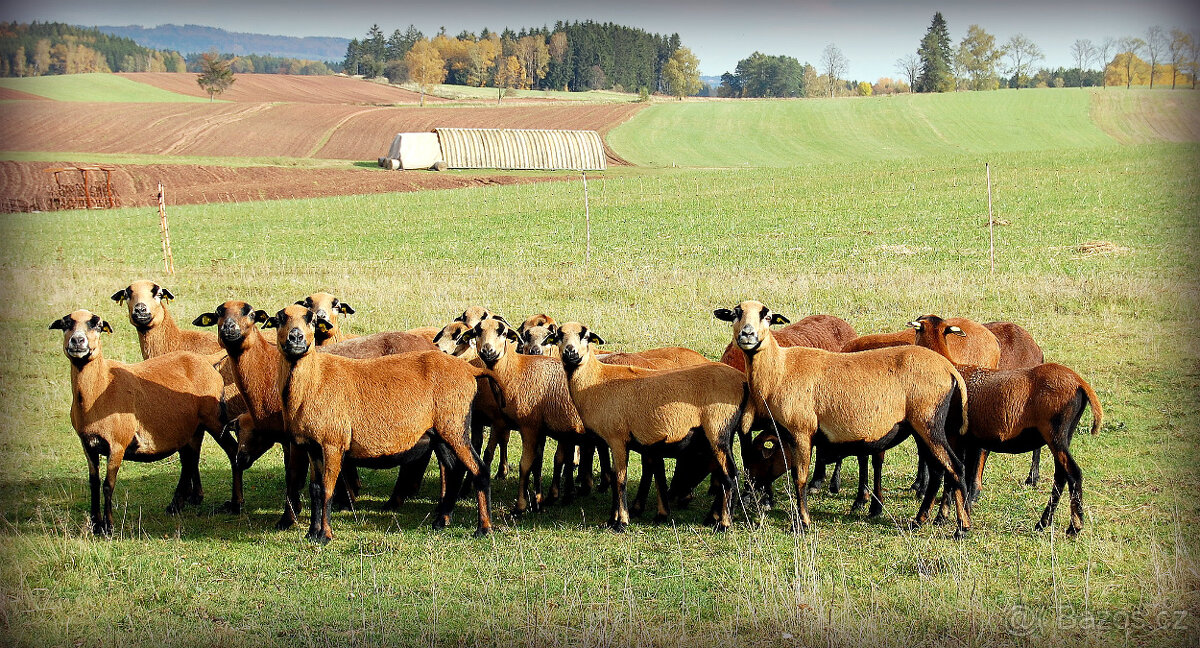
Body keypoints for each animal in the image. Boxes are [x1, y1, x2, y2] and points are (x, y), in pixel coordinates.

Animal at [50, 312, 226, 535]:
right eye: (65, 324)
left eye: (97, 325)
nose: (78, 341)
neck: (98, 390)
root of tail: (205, 360)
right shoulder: (87, 445)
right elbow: (94, 483)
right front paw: (95, 525)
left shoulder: (117, 445)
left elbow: (108, 484)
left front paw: (109, 527)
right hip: (190, 428)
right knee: (189, 460)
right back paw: (177, 504)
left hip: (214, 420)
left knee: (229, 452)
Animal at [270, 303, 499, 542]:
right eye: (279, 319)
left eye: (312, 320)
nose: (296, 338)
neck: (313, 381)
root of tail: (470, 370)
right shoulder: (312, 447)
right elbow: (315, 489)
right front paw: (312, 533)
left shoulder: (333, 443)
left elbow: (326, 489)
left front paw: (325, 535)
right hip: (440, 433)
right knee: (454, 471)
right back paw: (441, 522)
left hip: (455, 425)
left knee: (479, 470)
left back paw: (484, 528)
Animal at [549, 321, 748, 528]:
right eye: (559, 336)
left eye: (586, 336)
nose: (570, 353)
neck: (595, 380)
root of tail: (741, 380)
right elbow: (621, 477)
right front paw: (614, 519)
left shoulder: (617, 439)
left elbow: (620, 479)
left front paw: (621, 522)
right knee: (723, 474)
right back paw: (714, 517)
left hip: (718, 430)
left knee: (730, 474)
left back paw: (724, 523)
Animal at [715, 301, 969, 540]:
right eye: (736, 313)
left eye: (767, 316)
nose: (747, 335)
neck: (779, 369)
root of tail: (949, 369)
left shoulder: (801, 431)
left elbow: (799, 478)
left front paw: (802, 523)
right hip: (921, 428)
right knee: (937, 470)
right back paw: (920, 519)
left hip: (929, 422)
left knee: (955, 466)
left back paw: (961, 527)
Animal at [907, 314, 1104, 537]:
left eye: (916, 330)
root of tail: (1079, 382)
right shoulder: (966, 441)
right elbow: (959, 475)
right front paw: (949, 516)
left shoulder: (953, 436)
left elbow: (950, 475)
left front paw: (940, 517)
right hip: (1064, 436)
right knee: (1061, 476)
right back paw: (1043, 523)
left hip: (1056, 433)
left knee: (1073, 473)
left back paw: (1074, 526)